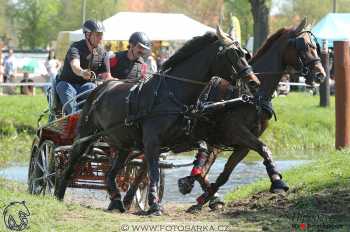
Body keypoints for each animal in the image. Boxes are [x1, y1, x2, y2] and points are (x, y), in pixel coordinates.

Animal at [53, 27, 258, 216]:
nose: (254, 81)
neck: (173, 93)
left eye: (245, 53)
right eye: (233, 54)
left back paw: (116, 200)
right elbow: (153, 172)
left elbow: (202, 149)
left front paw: (195, 187)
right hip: (85, 135)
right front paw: (154, 204)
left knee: (110, 173)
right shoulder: (152, 142)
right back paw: (57, 192)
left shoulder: (179, 140)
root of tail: (101, 87)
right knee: (72, 161)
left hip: (123, 145)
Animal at [179, 18, 326, 210]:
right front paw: (277, 181)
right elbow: (264, 148)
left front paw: (204, 197)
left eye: (315, 46)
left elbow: (224, 174)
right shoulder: (237, 133)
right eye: (303, 46)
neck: (250, 95)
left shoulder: (243, 144)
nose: (321, 74)